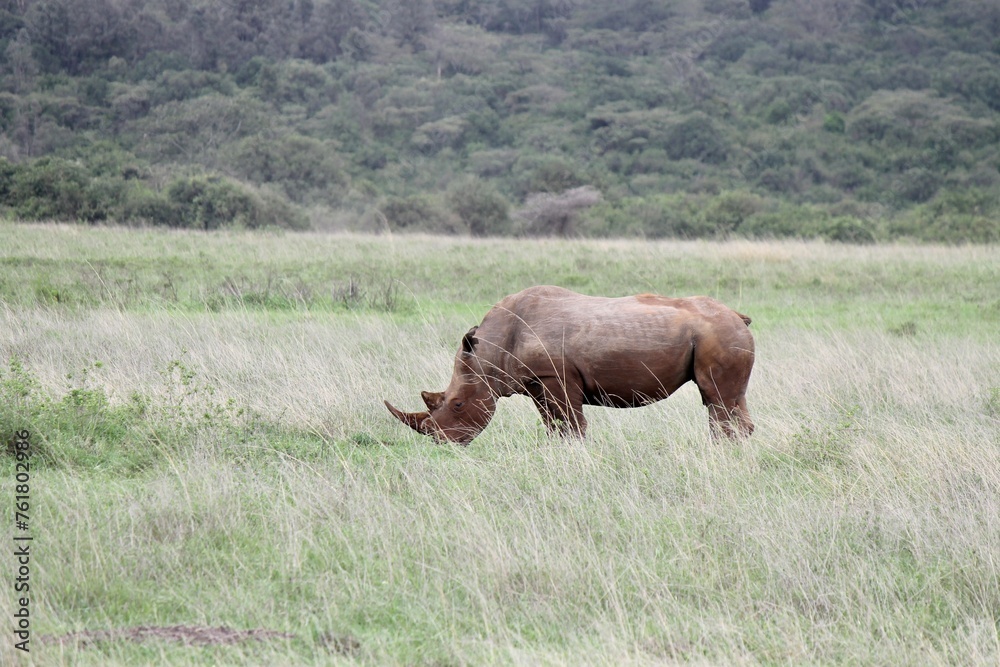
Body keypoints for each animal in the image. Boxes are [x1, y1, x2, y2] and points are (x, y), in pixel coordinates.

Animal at [385, 285, 755, 444]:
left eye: (458, 404)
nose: (442, 443)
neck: (490, 354)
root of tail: (738, 316)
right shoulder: (535, 381)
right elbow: (553, 424)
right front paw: (557, 449)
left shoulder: (557, 376)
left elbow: (572, 422)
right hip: (722, 333)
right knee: (728, 400)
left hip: (719, 334)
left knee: (716, 399)